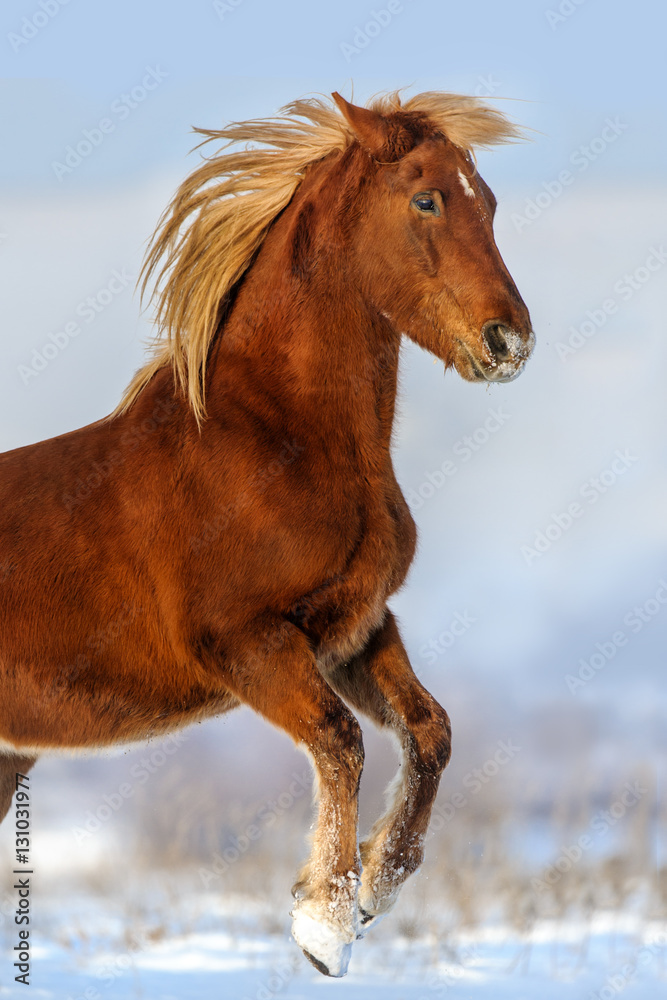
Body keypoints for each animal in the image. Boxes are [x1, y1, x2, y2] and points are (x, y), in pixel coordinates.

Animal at [0, 89, 533, 977]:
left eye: (487, 202)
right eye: (426, 200)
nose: (508, 342)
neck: (273, 439)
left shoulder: (355, 629)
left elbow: (428, 734)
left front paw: (373, 891)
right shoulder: (246, 642)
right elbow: (339, 741)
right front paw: (323, 926)